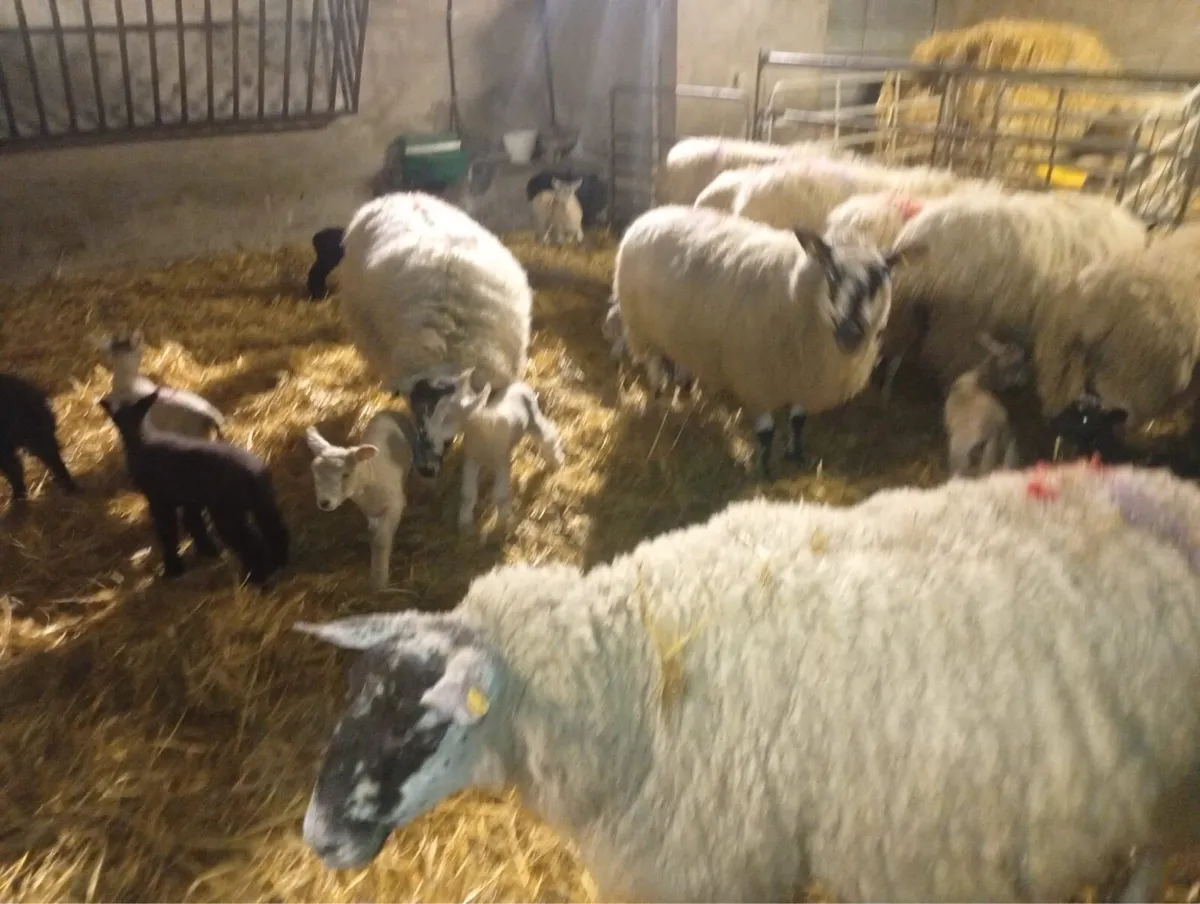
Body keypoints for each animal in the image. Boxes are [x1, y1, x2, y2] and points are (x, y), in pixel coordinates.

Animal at [100, 389, 289, 586]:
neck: (140, 439)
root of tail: (254, 473)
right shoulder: (189, 498)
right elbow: (193, 523)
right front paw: (208, 551)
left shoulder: (159, 499)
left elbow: (168, 532)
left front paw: (173, 568)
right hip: (263, 503)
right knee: (275, 530)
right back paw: (279, 563)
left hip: (228, 511)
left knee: (252, 543)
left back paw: (257, 577)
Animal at [295, 459, 1200, 903]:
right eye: (354, 699)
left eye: (419, 726)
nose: (318, 837)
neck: (637, 677)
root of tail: (1172, 490)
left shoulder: (721, 864)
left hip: (1170, 779)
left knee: (1154, 852)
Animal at [305, 410, 419, 591]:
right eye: (315, 473)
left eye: (345, 474)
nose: (324, 503)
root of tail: (387, 411)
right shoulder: (368, 509)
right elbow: (373, 529)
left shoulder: (394, 506)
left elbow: (380, 541)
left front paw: (379, 579)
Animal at [405, 369, 564, 534]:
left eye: (448, 417)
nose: (426, 434)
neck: (484, 424)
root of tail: (518, 383)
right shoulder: (472, 460)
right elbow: (468, 494)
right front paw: (465, 522)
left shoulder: (502, 461)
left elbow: (500, 496)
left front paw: (503, 523)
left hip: (533, 418)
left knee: (548, 434)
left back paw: (557, 460)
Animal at [613, 204, 922, 477]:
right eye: (833, 274)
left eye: (880, 278)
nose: (851, 334)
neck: (799, 296)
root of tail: (652, 213)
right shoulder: (756, 379)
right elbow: (766, 432)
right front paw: (765, 469)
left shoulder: (805, 380)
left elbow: (798, 421)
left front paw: (797, 455)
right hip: (642, 327)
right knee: (652, 361)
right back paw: (659, 392)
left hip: (680, 328)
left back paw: (684, 384)